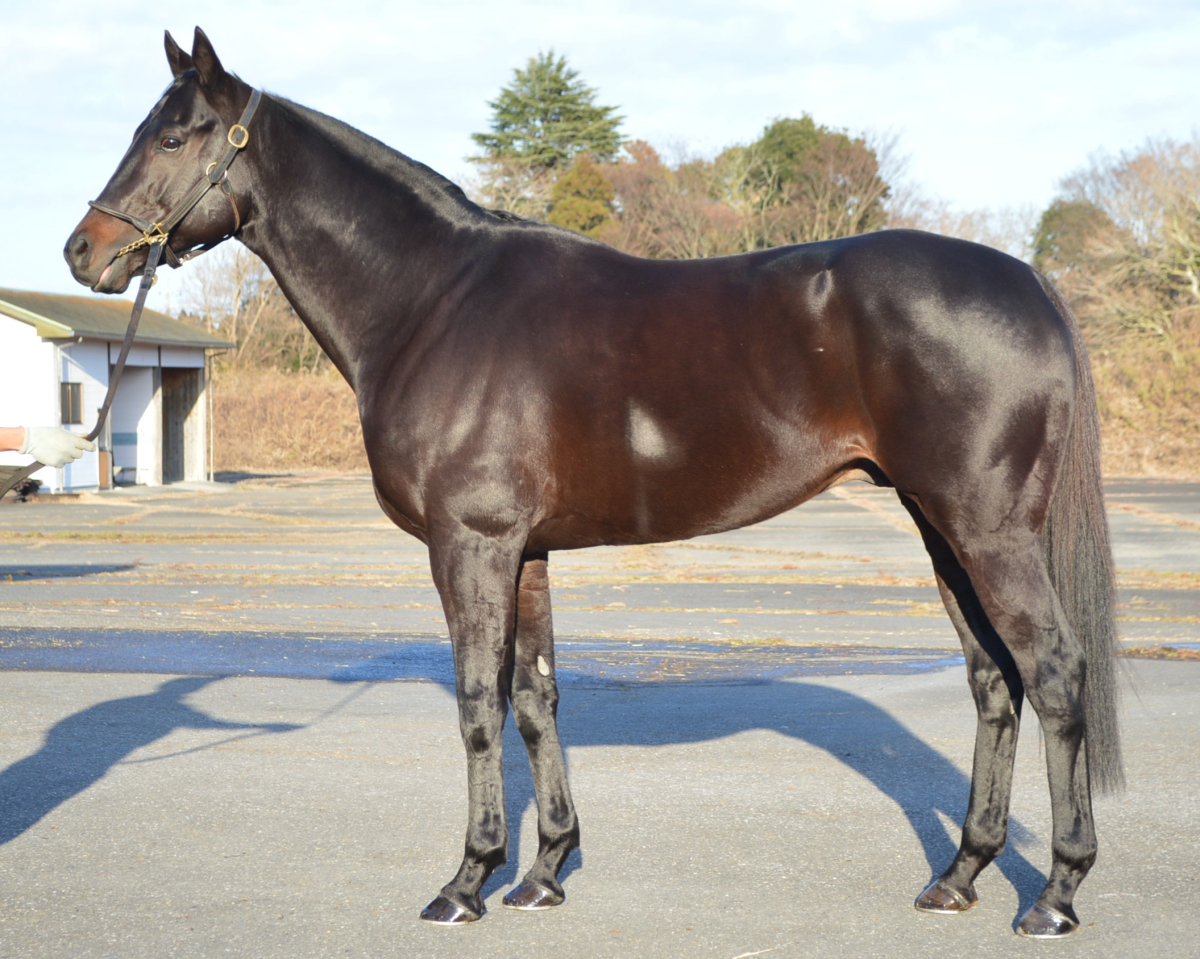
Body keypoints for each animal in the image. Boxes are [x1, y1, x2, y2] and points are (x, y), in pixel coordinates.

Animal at [64, 28, 1121, 938]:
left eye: (173, 133)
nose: (85, 251)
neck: (433, 301)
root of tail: (1030, 284)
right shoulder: (525, 550)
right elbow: (536, 698)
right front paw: (542, 872)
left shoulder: (472, 544)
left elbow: (477, 703)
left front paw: (465, 881)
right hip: (943, 529)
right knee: (994, 681)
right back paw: (959, 875)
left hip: (987, 530)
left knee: (1052, 672)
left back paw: (1055, 895)